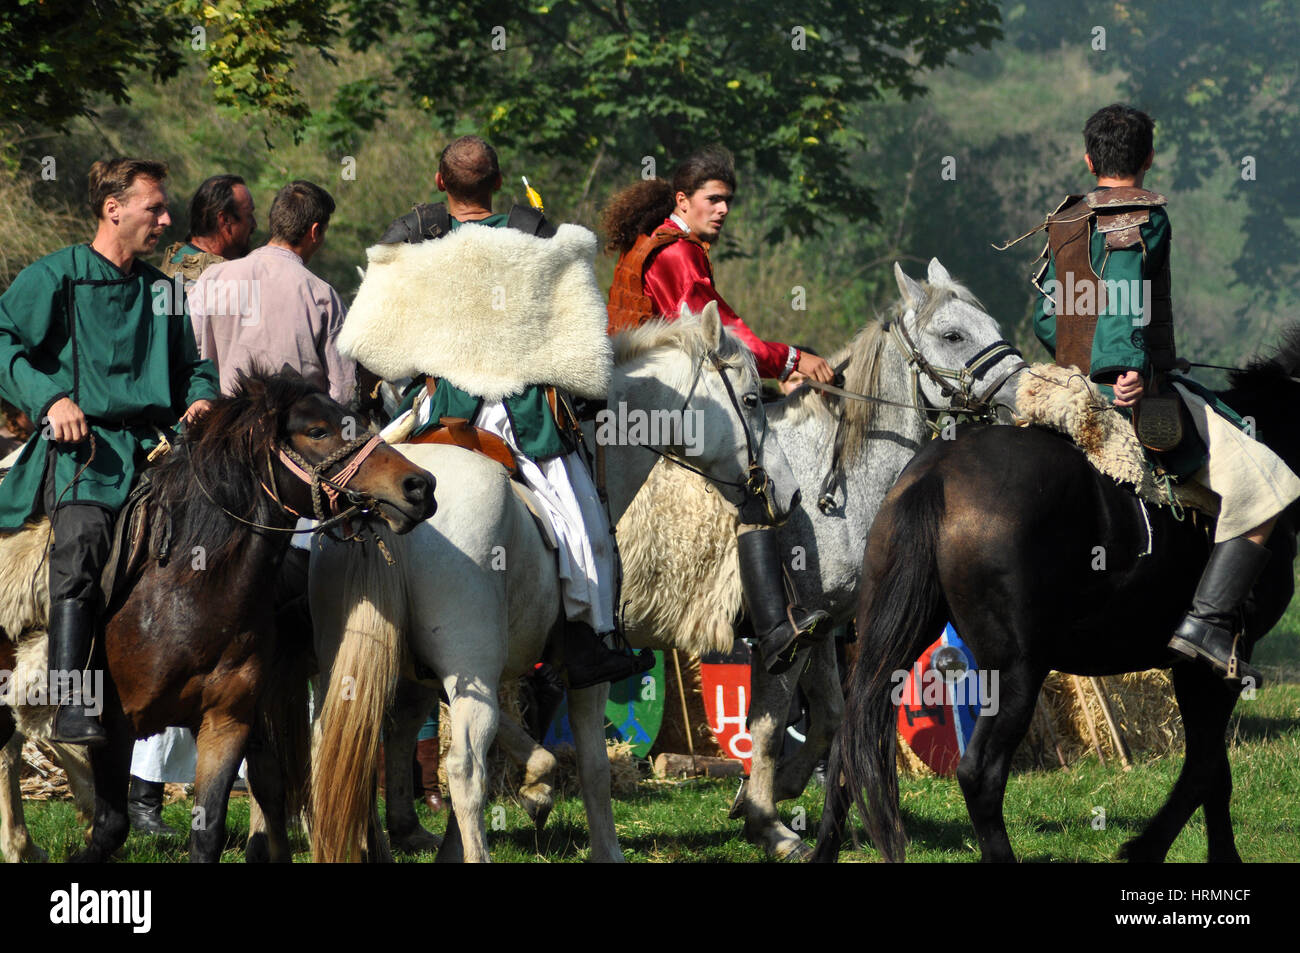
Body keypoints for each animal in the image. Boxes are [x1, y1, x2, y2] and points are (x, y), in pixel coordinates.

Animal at [0, 369, 436, 863]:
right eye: (317, 431)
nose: (419, 486)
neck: (186, 592)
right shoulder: (113, 726)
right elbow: (110, 828)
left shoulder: (227, 724)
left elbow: (208, 830)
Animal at [306, 306, 800, 863]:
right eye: (753, 400)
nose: (788, 494)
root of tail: (385, 508)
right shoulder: (581, 669)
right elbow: (593, 765)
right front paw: (602, 846)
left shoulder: (444, 676)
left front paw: (532, 788)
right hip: (469, 666)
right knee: (464, 767)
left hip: (352, 667)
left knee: (335, 752)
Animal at [811, 330, 1300, 858]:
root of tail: (939, 473)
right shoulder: (1218, 665)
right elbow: (1206, 769)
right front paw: (1153, 849)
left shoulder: (1194, 669)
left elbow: (1211, 769)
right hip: (1018, 670)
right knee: (979, 773)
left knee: (847, 750)